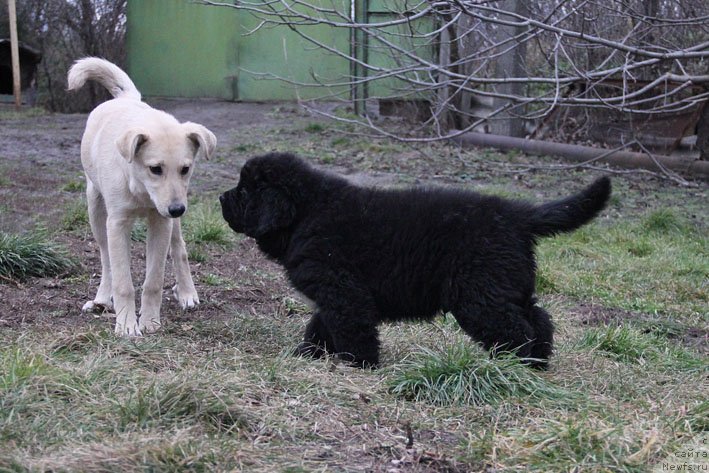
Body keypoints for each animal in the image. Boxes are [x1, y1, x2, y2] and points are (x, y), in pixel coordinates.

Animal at [68, 58, 216, 336]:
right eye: (155, 168)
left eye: (186, 168)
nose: (177, 209)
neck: (140, 189)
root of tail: (126, 98)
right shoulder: (117, 223)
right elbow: (123, 282)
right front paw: (126, 325)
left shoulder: (161, 222)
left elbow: (154, 281)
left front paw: (150, 322)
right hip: (96, 209)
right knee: (105, 257)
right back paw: (102, 299)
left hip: (172, 222)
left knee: (179, 248)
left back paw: (187, 292)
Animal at [220, 153, 608, 366]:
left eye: (244, 191)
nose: (221, 199)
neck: (306, 213)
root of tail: (516, 214)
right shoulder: (333, 295)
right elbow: (320, 325)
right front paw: (307, 354)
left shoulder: (342, 290)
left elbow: (349, 328)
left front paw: (358, 364)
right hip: (507, 284)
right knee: (539, 319)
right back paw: (537, 364)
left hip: (479, 294)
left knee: (516, 330)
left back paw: (512, 368)